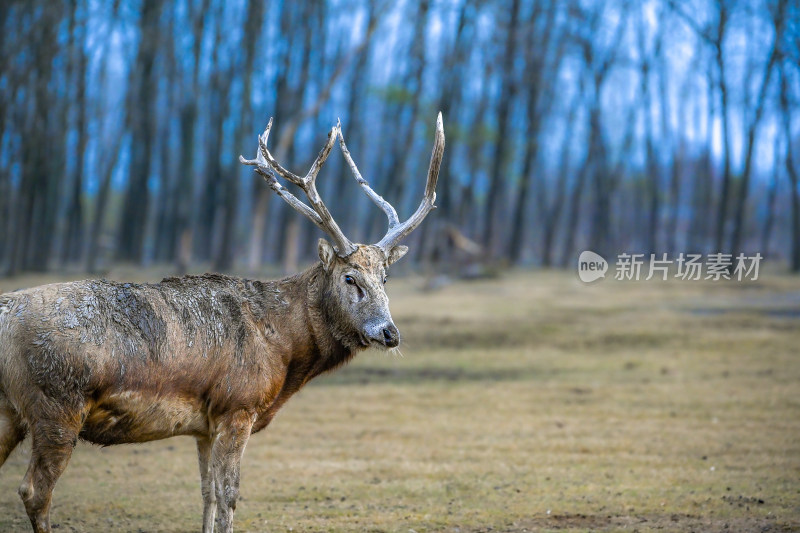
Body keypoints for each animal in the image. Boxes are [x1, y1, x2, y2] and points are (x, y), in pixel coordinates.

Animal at [0, 114, 444, 528]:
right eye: (350, 278)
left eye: (385, 278)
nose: (389, 332)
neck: (284, 349)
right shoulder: (238, 406)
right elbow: (230, 496)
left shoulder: (205, 425)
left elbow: (207, 494)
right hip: (57, 405)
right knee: (34, 490)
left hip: (13, 410)